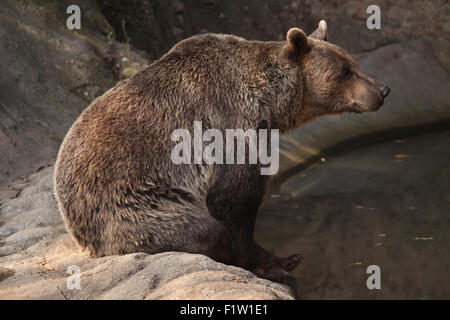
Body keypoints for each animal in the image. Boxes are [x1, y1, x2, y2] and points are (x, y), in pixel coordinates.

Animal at [54, 20, 388, 282]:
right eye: (345, 71)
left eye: (355, 64)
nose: (382, 90)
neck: (270, 102)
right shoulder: (231, 123)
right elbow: (235, 197)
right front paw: (257, 266)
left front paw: (278, 260)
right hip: (137, 205)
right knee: (200, 230)